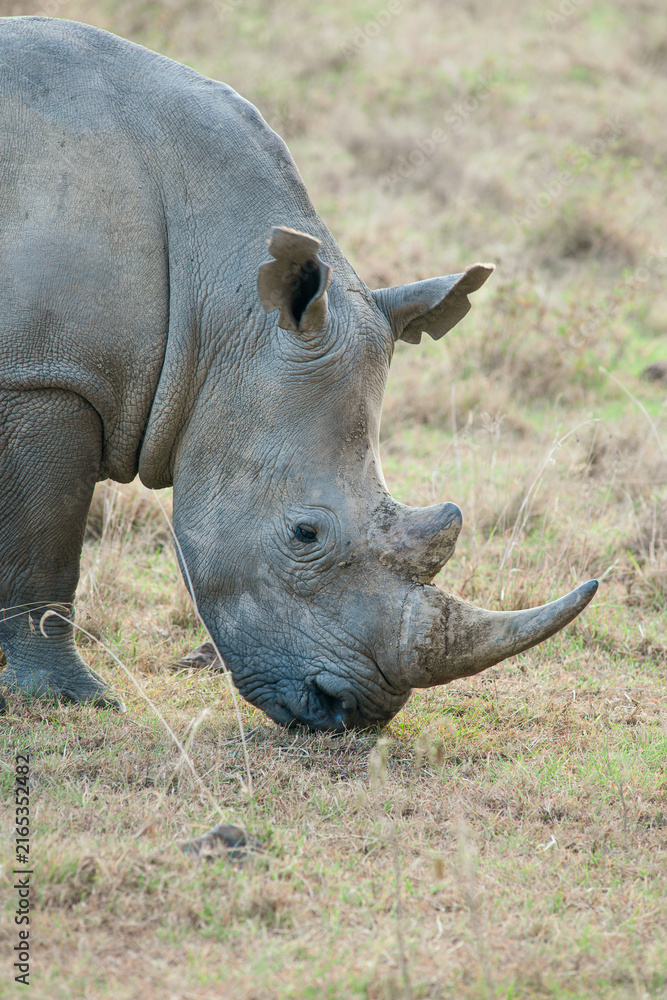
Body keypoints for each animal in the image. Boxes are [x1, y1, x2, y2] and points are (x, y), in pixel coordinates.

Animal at [0, 18, 597, 730]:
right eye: (304, 533)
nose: (351, 714)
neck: (218, 311)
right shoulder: (48, 377)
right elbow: (45, 547)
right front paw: (67, 697)